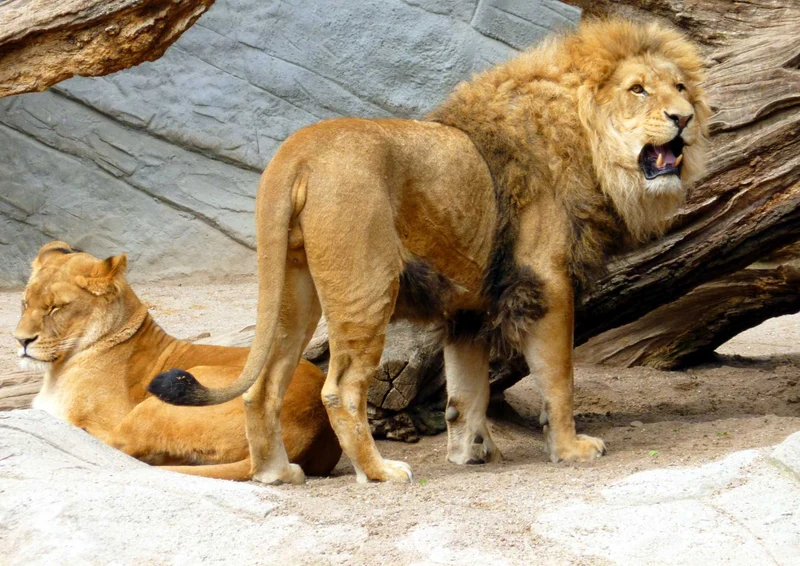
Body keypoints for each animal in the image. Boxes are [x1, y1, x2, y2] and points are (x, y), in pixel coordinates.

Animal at [13, 241, 342, 480]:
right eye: (24, 302)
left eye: (56, 308)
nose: (21, 341)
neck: (59, 367)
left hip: (171, 394)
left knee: (119, 447)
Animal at [149, 19, 710, 485]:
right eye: (637, 89)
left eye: (681, 88)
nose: (683, 119)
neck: (589, 144)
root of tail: (298, 151)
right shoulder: (545, 282)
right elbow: (559, 378)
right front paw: (570, 449)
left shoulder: (470, 307)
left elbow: (466, 391)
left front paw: (472, 453)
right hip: (366, 288)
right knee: (341, 389)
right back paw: (379, 472)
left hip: (293, 289)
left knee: (262, 386)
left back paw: (276, 473)